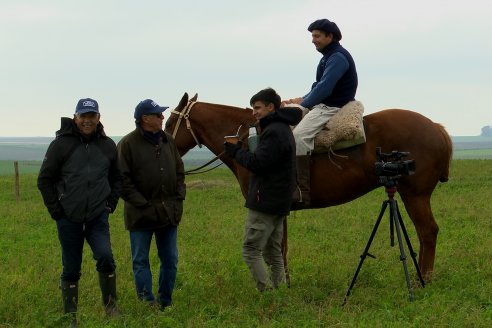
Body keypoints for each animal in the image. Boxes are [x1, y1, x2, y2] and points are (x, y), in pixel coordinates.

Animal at [166, 91, 454, 280]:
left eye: (169, 122)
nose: (162, 140)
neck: (249, 140)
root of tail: (437, 128)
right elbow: (279, 248)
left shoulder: (267, 206)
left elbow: (276, 248)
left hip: (415, 194)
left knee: (428, 232)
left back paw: (424, 279)